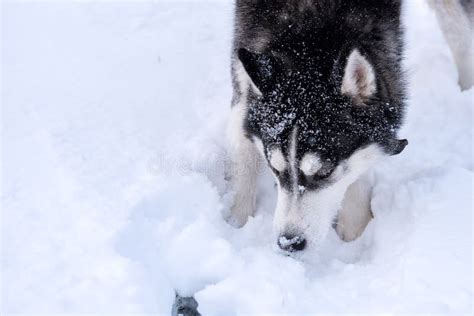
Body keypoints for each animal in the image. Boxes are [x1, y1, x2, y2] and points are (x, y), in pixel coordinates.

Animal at [226, 0, 408, 252]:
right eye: (274, 169)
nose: (289, 243)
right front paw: (238, 222)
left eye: (324, 172)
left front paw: (354, 229)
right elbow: (243, 158)